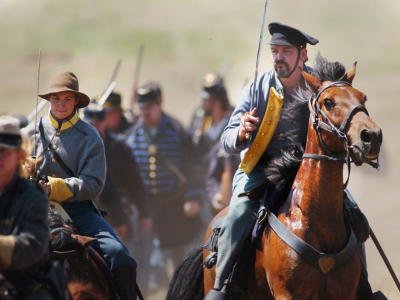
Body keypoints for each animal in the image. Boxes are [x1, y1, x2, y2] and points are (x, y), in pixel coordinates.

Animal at [167, 57, 382, 298]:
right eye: (329, 102)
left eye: (362, 97)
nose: (372, 136)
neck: (311, 218)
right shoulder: (287, 293)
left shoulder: (343, 293)